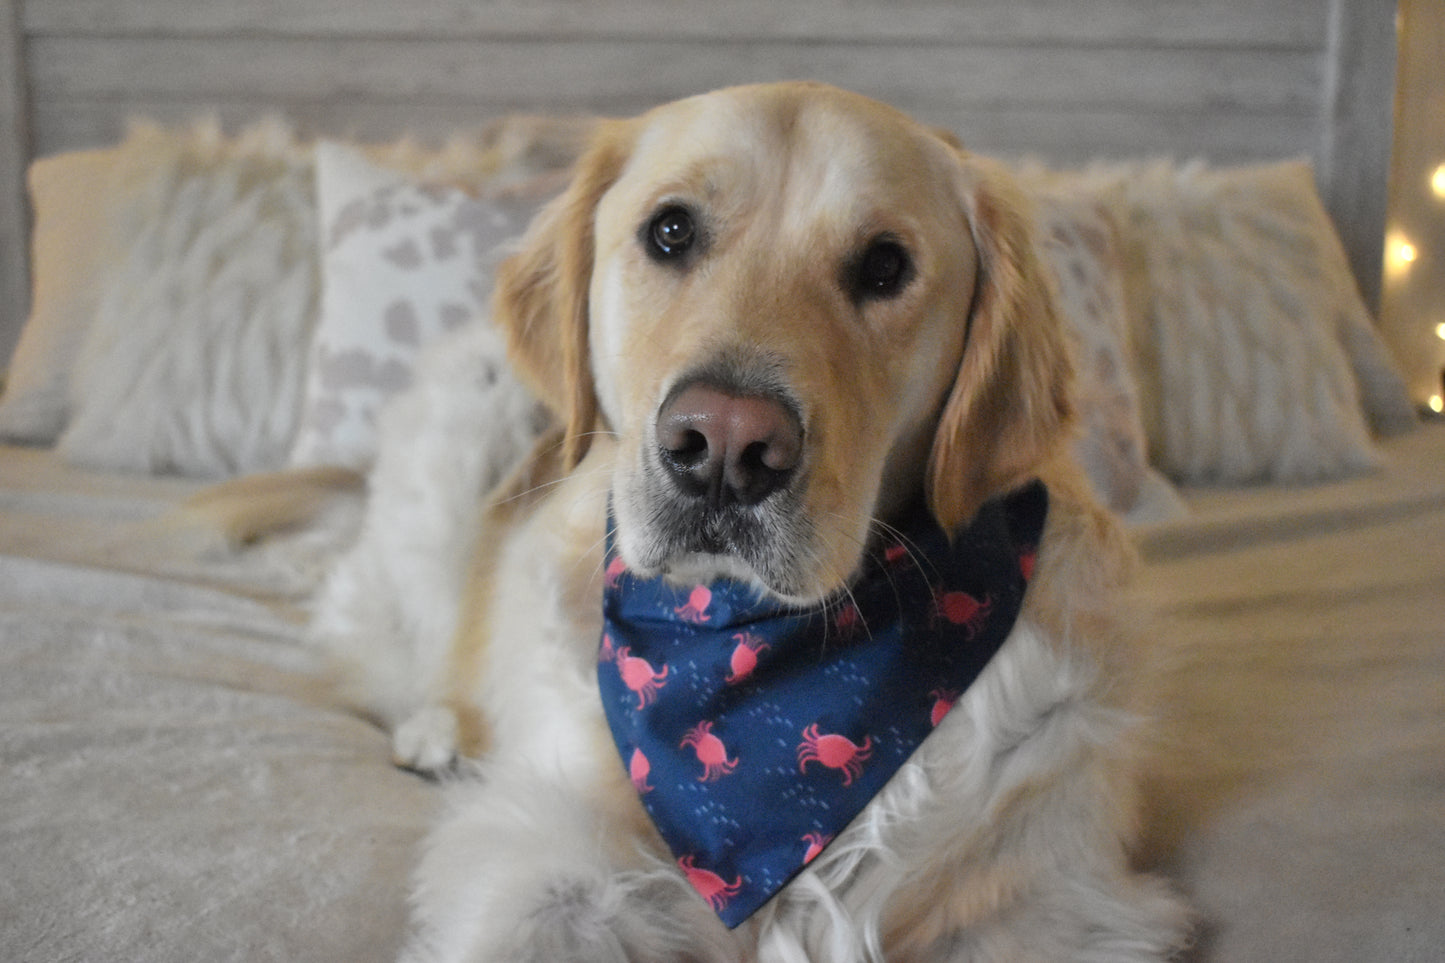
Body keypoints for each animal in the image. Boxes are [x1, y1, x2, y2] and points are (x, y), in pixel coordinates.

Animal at [236, 82, 1190, 960]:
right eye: (669, 232)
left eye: (884, 265)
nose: (726, 447)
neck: (752, 651)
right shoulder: (552, 853)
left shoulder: (1047, 896)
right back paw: (433, 730)